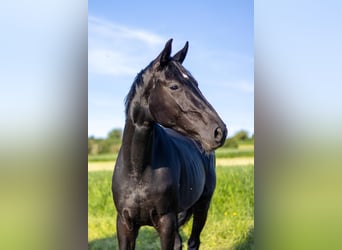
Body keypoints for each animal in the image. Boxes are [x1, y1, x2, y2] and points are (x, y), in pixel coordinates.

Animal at [111, 39, 227, 250]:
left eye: (196, 84)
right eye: (174, 86)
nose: (219, 131)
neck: (138, 170)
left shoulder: (166, 222)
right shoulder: (124, 224)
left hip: (202, 206)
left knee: (193, 241)